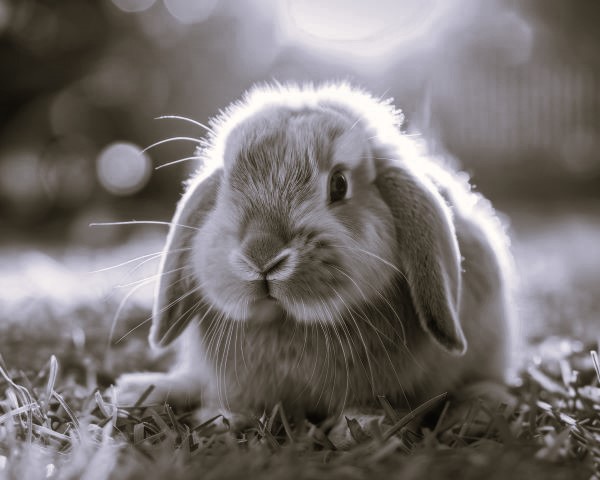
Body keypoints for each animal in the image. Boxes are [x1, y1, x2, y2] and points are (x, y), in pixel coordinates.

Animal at [115, 81, 516, 442]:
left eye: (339, 184)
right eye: (226, 186)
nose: (261, 255)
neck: (290, 324)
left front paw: (362, 428)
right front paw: (225, 421)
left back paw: (473, 415)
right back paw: (137, 393)